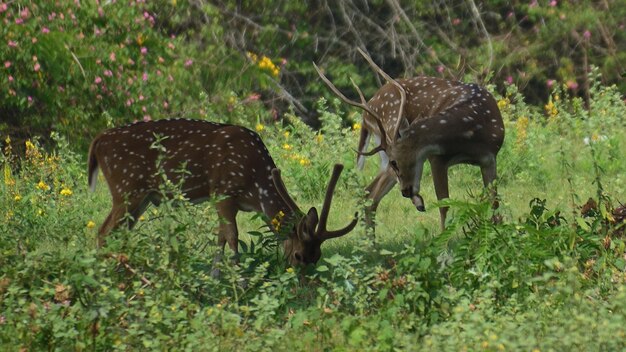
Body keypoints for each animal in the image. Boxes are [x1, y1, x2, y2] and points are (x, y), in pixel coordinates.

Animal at [87, 117, 356, 264]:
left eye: (317, 257)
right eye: (299, 255)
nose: (301, 281)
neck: (256, 185)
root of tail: (98, 140)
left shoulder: (227, 201)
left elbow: (220, 238)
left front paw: (217, 277)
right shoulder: (223, 192)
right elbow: (232, 237)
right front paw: (238, 281)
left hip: (140, 197)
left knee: (118, 233)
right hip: (126, 188)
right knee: (103, 232)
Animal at [312, 49, 502, 231]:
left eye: (396, 162)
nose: (405, 192)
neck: (472, 131)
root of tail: (366, 114)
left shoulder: (490, 158)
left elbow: (494, 204)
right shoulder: (436, 158)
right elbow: (444, 205)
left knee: (368, 193)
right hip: (389, 133)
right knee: (371, 194)